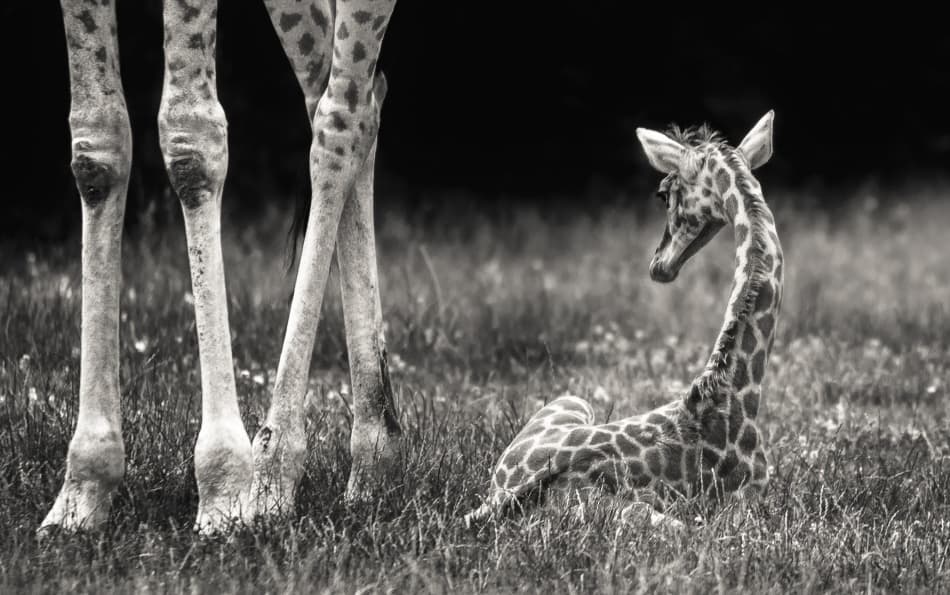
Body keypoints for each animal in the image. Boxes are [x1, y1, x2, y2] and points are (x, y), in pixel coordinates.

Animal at [42, 0, 400, 535]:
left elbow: (190, 139)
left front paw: (223, 485)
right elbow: (96, 144)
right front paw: (81, 491)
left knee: (341, 115)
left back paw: (273, 471)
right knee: (347, 92)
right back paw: (372, 460)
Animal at [465, 111, 783, 528]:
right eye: (661, 193)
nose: (659, 264)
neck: (729, 392)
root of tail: (502, 497)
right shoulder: (754, 501)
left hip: (567, 405)